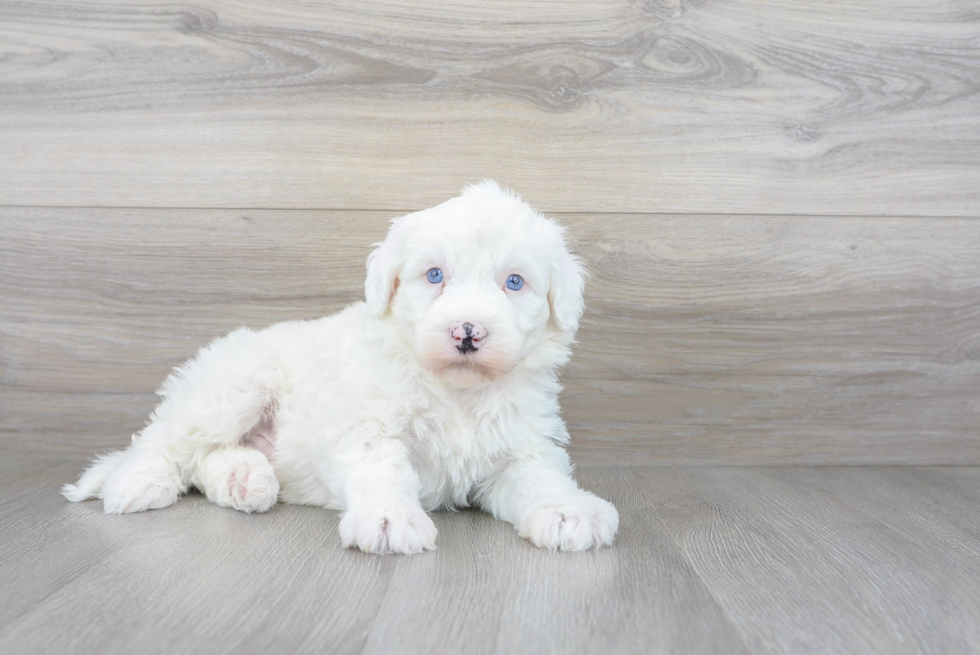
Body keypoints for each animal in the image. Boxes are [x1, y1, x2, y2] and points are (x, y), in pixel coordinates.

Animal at [63, 182, 620, 556]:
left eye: (514, 282)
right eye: (434, 275)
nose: (468, 332)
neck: (456, 392)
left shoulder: (519, 448)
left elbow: (540, 479)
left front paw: (570, 511)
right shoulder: (369, 428)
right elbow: (384, 471)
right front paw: (391, 519)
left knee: (208, 459)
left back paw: (246, 479)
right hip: (233, 386)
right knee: (166, 441)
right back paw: (138, 484)